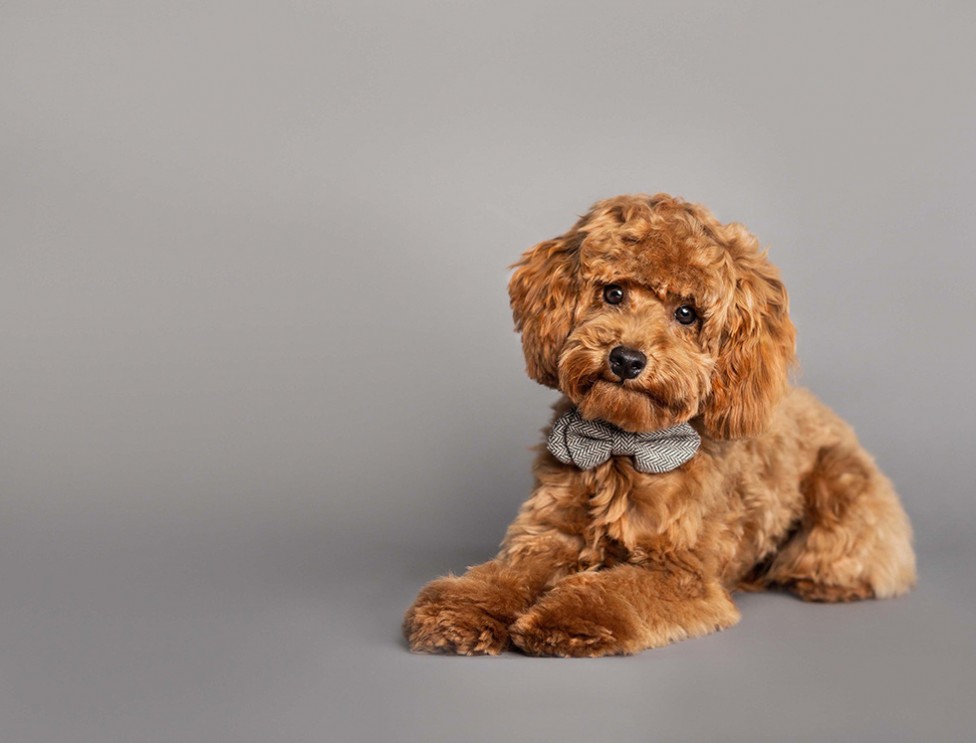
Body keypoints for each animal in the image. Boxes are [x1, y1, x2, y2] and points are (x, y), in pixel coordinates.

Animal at [402, 195, 916, 660]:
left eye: (687, 313)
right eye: (613, 293)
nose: (626, 358)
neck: (619, 444)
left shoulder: (682, 573)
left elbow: (616, 592)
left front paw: (564, 618)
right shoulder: (547, 535)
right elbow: (506, 575)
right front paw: (461, 609)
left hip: (839, 481)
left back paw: (824, 582)